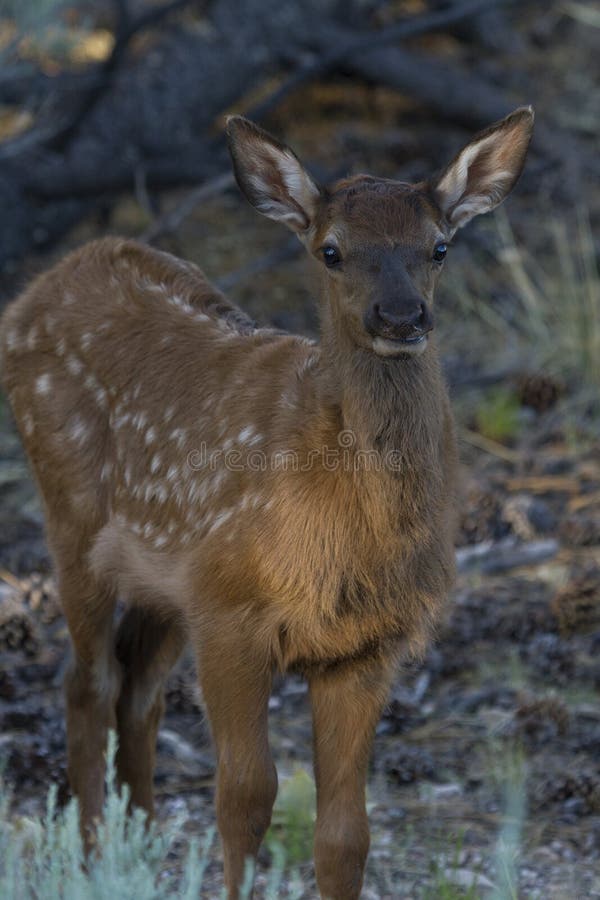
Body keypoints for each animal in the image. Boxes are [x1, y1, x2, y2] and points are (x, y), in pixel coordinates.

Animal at [0, 106, 533, 899]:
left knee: (139, 689)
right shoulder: (229, 611)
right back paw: (98, 862)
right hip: (72, 516)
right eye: (332, 250)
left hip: (165, 577)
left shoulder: (366, 647)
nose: (402, 317)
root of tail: (40, 288)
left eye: (439, 246)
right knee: (88, 682)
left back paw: (143, 847)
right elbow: (245, 798)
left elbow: (346, 835)